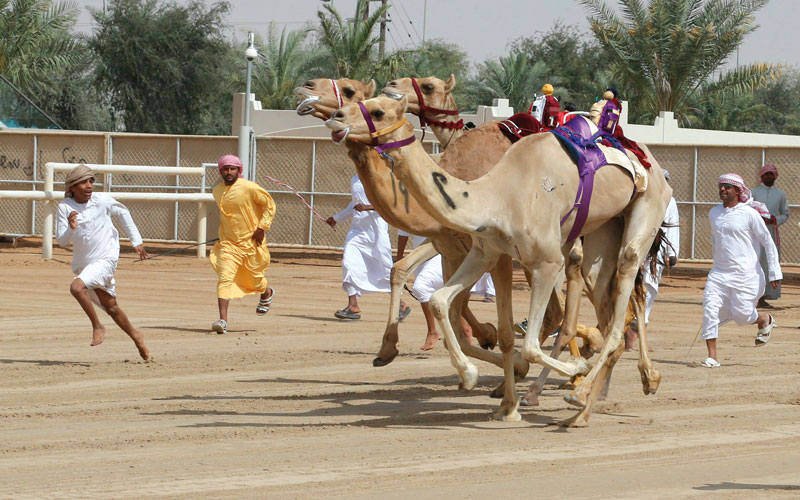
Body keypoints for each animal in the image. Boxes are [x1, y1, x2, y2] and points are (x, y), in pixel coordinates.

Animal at [324, 95, 668, 428]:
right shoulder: (485, 251)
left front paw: (567, 371)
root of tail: (653, 164)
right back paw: (583, 412)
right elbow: (442, 301)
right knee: (608, 304)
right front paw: (476, 380)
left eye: (378, 111)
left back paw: (584, 389)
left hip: (648, 206)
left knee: (623, 285)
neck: (495, 195)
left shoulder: (545, 261)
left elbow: (528, 344)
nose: (336, 118)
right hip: (604, 231)